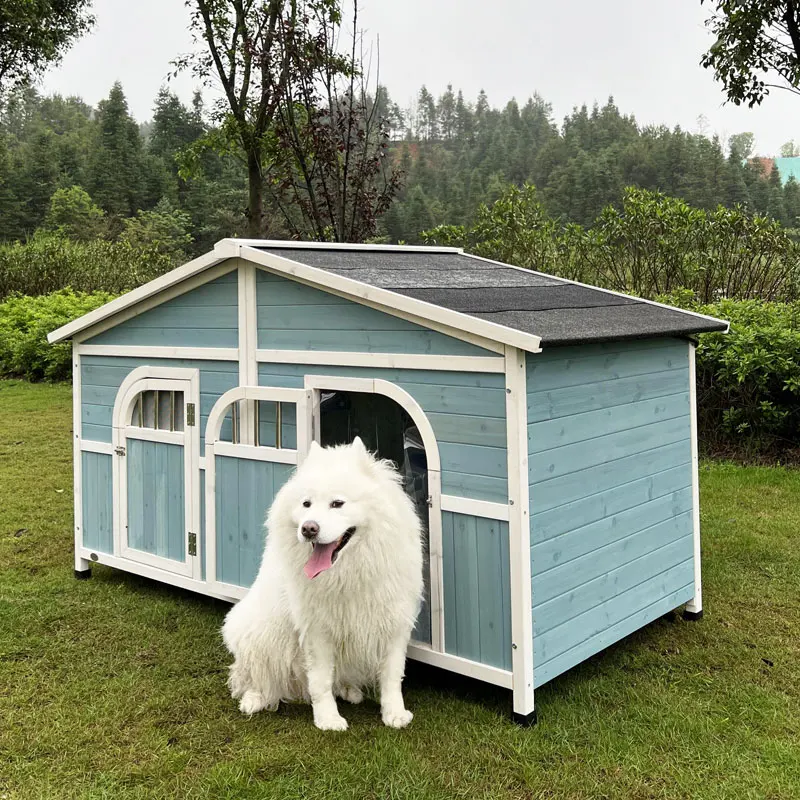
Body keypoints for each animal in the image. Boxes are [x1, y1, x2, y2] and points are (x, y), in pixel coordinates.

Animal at [219, 438, 424, 732]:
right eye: (306, 504)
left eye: (337, 503)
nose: (308, 528)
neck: (347, 572)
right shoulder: (317, 630)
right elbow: (320, 681)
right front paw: (328, 719)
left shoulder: (393, 623)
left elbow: (392, 676)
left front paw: (394, 713)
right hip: (258, 631)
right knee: (252, 675)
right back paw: (254, 699)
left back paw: (350, 691)